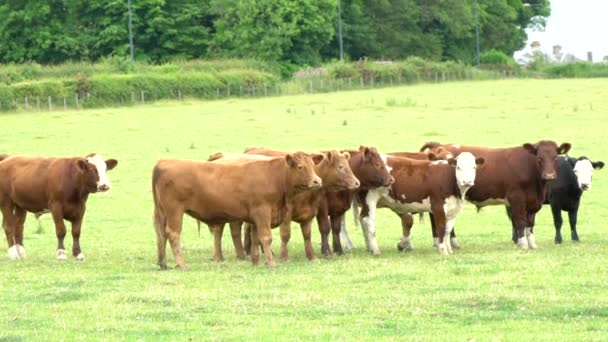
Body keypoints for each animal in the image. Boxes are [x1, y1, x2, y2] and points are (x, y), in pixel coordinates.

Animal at [152, 153, 324, 270]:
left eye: (313, 165)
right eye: (300, 167)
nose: (317, 181)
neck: (274, 176)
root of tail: (164, 162)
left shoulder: (255, 217)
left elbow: (256, 239)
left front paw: (255, 261)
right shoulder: (263, 212)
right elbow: (266, 238)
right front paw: (271, 263)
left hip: (162, 212)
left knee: (161, 234)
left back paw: (163, 263)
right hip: (174, 211)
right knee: (173, 234)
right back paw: (182, 264)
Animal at [354, 152, 482, 254]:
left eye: (474, 167)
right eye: (458, 167)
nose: (467, 181)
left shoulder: (453, 210)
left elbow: (447, 230)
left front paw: (449, 249)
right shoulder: (438, 207)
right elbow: (441, 227)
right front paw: (443, 251)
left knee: (362, 219)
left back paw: (369, 248)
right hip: (370, 199)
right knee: (368, 221)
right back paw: (375, 250)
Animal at [420, 140, 572, 250]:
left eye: (555, 157)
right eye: (539, 158)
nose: (549, 175)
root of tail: (440, 146)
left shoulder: (533, 202)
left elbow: (530, 224)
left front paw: (532, 244)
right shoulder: (517, 199)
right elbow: (521, 222)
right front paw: (523, 245)